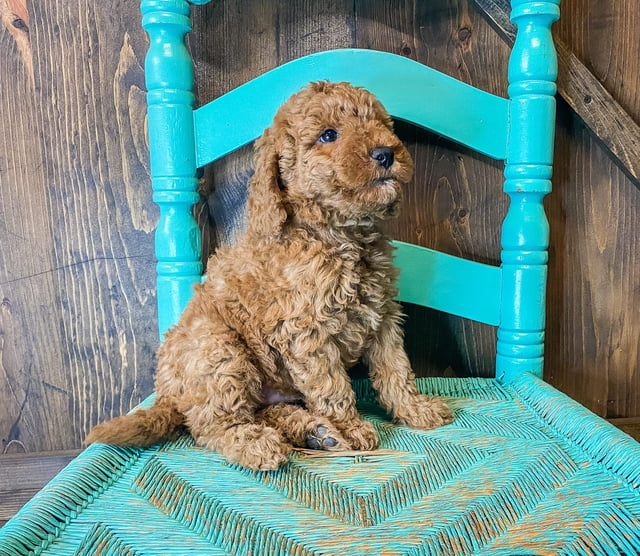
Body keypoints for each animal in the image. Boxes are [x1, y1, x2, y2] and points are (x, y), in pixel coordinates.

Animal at [87, 81, 452, 470]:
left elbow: (395, 368)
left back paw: (314, 432)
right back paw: (257, 443)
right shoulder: (306, 330)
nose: (385, 153)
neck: (340, 235)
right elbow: (332, 386)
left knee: (262, 411)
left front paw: (415, 409)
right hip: (218, 347)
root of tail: (168, 394)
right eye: (328, 135)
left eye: (382, 125)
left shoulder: (382, 315)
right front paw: (351, 428)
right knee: (211, 424)